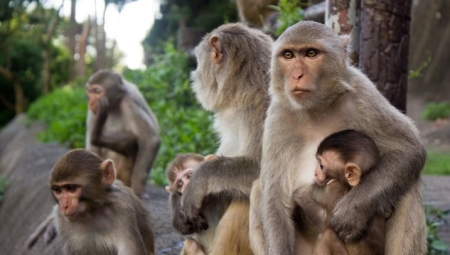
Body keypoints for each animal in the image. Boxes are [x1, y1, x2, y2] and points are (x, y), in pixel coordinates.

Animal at [85, 68, 161, 196]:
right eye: (89, 92)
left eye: (97, 91)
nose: (90, 102)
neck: (114, 103)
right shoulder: (95, 111)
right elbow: (92, 147)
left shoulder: (128, 102)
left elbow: (149, 139)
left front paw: (137, 190)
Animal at [251, 20, 428, 255]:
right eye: (288, 55)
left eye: (311, 53)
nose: (296, 75)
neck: (316, 109)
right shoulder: (277, 118)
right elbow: (275, 200)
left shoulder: (362, 92)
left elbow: (409, 149)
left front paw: (351, 212)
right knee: (257, 188)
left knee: (408, 187)